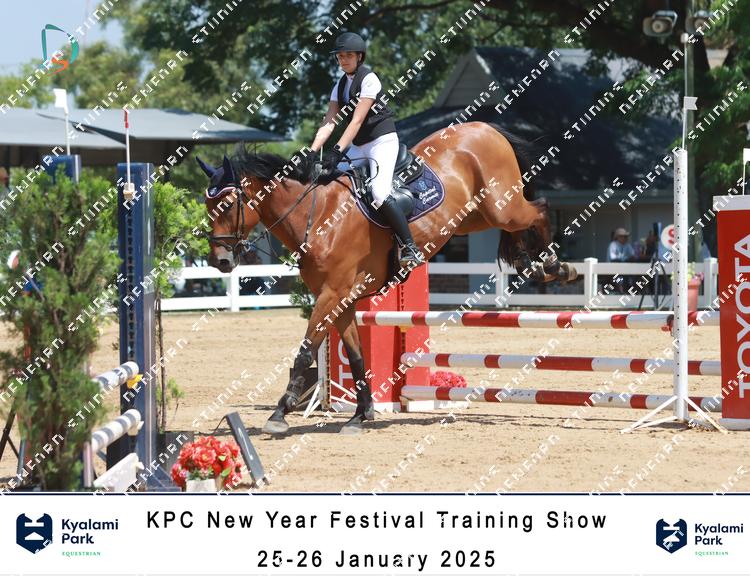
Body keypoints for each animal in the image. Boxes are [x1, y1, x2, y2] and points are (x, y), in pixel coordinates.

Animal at [198, 121, 577, 435]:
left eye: (227, 205)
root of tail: (485, 128)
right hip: (476, 216)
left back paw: (556, 266)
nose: (219, 261)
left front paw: (280, 412)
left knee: (540, 208)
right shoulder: (342, 300)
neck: (317, 216)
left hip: (501, 206)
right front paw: (360, 415)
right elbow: (355, 357)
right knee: (519, 223)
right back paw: (532, 263)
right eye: (207, 206)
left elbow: (306, 351)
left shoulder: (332, 294)